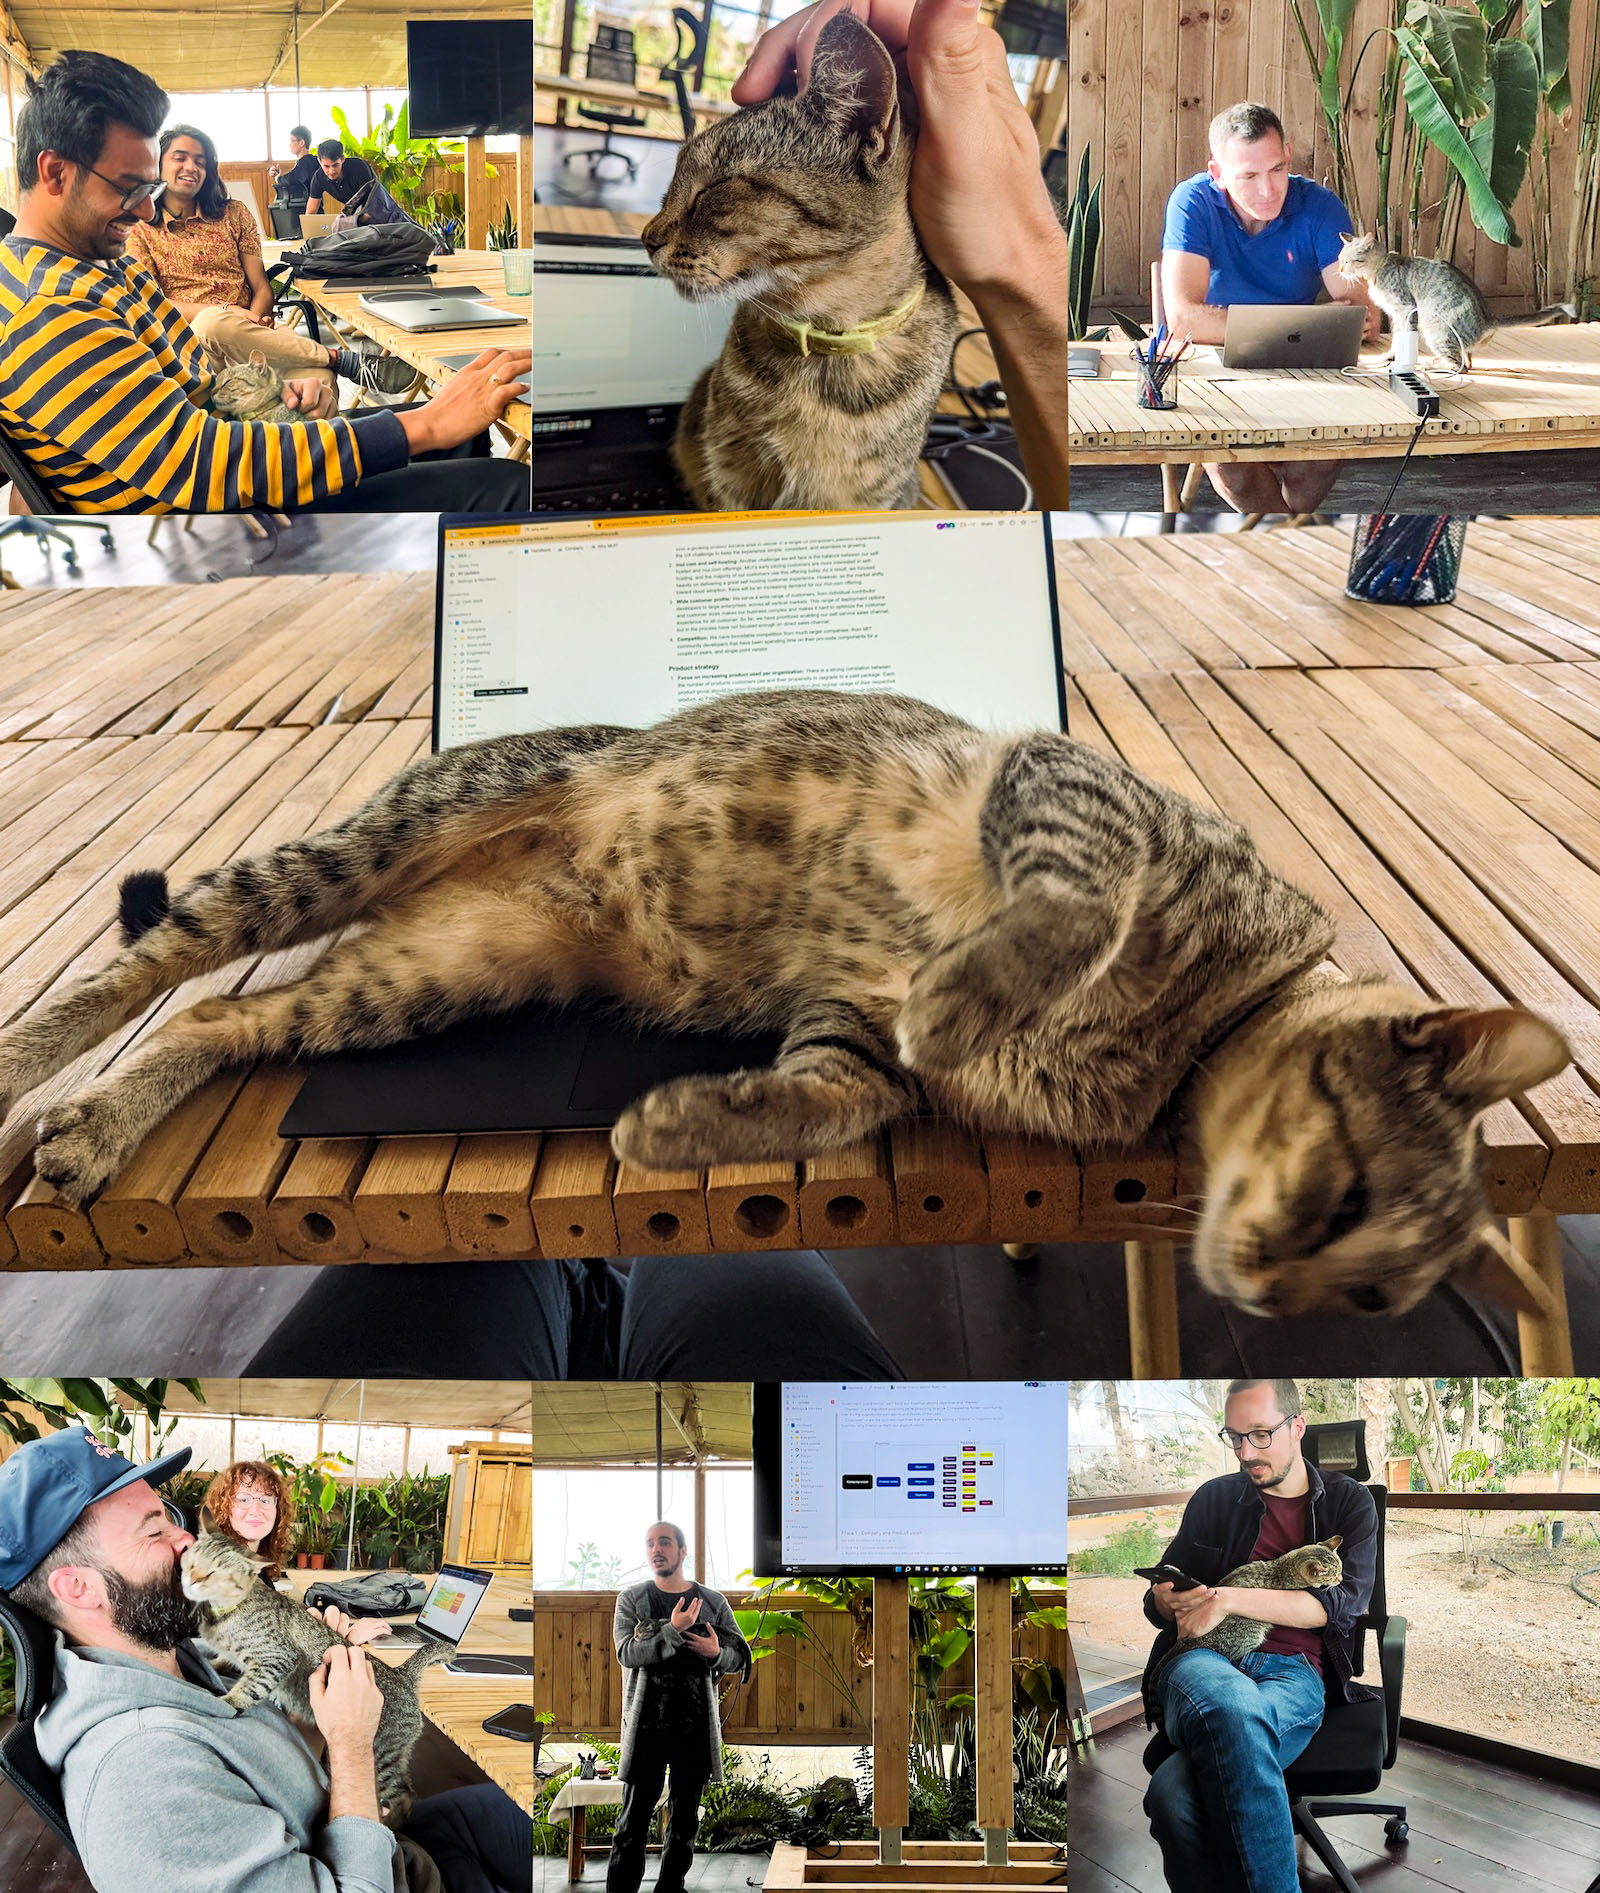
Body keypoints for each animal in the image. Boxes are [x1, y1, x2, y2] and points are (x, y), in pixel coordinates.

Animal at [0, 692, 1567, 1317]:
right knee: (148, 967)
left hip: (428, 975)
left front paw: (682, 1127)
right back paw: (35, 1068)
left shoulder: (845, 1020)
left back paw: (90, 1128)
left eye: (1369, 1296)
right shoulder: (1077, 795)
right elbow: (1058, 916)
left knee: (220, 1023)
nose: (1262, 1292)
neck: (1158, 1064)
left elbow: (826, 1095)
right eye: (1347, 1188)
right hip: (349, 861)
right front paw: (978, 993)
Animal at [184, 1529, 452, 1824]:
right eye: (190, 1561)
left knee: (404, 1795)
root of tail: (402, 1674)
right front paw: (212, 1660)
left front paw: (226, 1702)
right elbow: (225, 1659)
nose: (190, 1579)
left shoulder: (277, 1657)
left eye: (214, 1572)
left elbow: (248, 1688)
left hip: (379, 1756)